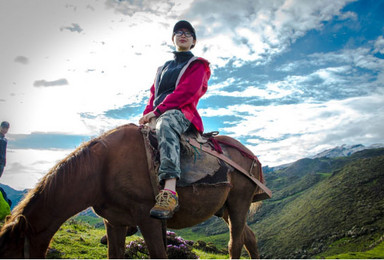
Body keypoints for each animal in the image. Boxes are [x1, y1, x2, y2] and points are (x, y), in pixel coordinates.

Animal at [0, 123, 266, 258]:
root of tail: (252, 157)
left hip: (239, 203)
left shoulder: (148, 219)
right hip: (224, 209)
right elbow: (114, 255)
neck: (101, 169)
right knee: (249, 239)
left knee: (235, 244)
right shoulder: (114, 221)